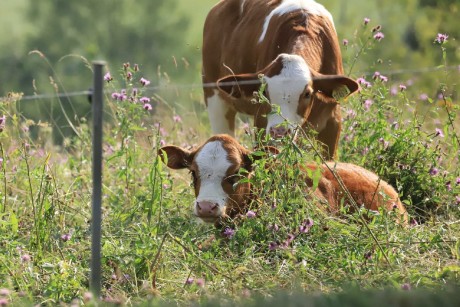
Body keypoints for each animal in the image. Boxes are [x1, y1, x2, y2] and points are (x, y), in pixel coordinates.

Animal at [204, 0, 360, 159]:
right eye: (264, 93)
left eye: (307, 94)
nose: (279, 132)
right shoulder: (261, 122)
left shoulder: (332, 123)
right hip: (214, 100)